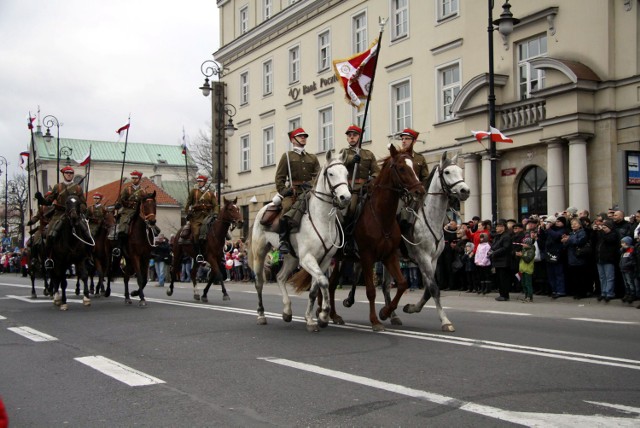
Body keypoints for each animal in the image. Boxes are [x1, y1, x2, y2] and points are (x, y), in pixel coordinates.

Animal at [250, 149, 350, 332]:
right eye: (331, 173)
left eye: (346, 173)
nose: (345, 197)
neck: (322, 219)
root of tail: (263, 209)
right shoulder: (307, 259)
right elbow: (324, 282)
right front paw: (323, 315)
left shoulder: (324, 260)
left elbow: (315, 289)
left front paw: (311, 319)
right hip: (260, 253)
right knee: (259, 282)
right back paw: (261, 315)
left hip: (291, 258)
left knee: (280, 277)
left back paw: (287, 311)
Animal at [308, 145, 424, 330]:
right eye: (401, 168)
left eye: (414, 165)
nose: (420, 191)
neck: (381, 216)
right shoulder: (367, 257)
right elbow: (371, 290)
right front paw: (375, 320)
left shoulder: (389, 256)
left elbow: (402, 283)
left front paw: (385, 312)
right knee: (323, 284)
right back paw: (321, 312)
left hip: (340, 259)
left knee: (331, 284)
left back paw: (333, 315)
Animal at [400, 150, 470, 332]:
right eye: (447, 172)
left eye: (460, 170)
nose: (465, 190)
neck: (430, 218)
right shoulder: (423, 257)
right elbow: (433, 288)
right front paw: (445, 321)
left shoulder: (433, 259)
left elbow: (428, 289)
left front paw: (411, 307)